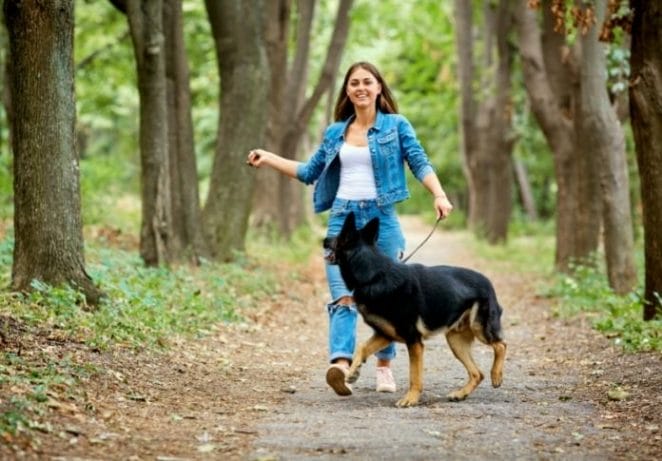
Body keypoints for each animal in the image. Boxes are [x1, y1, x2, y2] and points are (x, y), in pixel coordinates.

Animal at [326, 212, 508, 406]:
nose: (323, 240)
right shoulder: (385, 335)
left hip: (479, 328)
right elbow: (361, 347)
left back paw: (496, 375)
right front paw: (353, 372)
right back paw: (460, 394)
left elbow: (414, 375)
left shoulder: (413, 341)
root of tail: (488, 282)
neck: (374, 275)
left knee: (501, 345)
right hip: (455, 340)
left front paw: (411, 398)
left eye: (337, 237)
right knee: (477, 373)